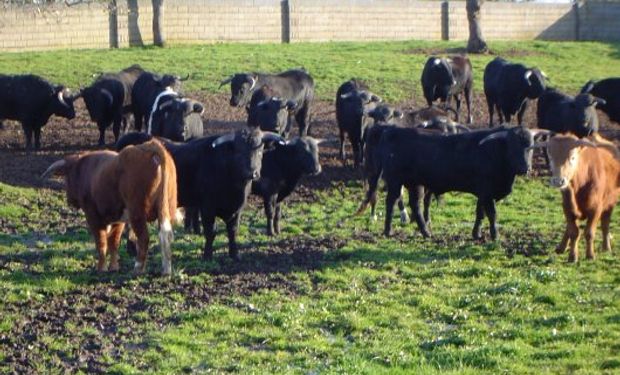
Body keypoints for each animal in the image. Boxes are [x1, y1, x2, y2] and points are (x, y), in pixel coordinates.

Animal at [40, 140, 177, 274]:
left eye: (67, 178)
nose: (70, 200)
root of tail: (151, 146)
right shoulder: (118, 219)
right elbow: (114, 243)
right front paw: (113, 267)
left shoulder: (93, 217)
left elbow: (101, 242)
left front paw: (101, 268)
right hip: (166, 210)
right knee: (165, 236)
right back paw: (166, 269)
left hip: (137, 212)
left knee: (144, 238)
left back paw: (138, 268)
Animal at [368, 125, 544, 238]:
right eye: (513, 146)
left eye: (530, 147)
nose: (524, 168)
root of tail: (391, 130)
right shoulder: (487, 192)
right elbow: (492, 214)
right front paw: (495, 236)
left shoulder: (483, 194)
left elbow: (480, 213)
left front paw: (476, 234)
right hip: (395, 181)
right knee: (391, 202)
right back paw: (388, 231)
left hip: (415, 184)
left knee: (415, 205)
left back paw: (426, 232)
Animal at [536, 134, 620, 262]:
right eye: (551, 158)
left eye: (572, 158)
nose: (558, 181)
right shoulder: (567, 207)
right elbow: (573, 232)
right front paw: (573, 256)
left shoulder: (596, 209)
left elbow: (589, 232)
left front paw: (590, 255)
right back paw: (561, 247)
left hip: (610, 203)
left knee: (605, 224)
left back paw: (606, 247)